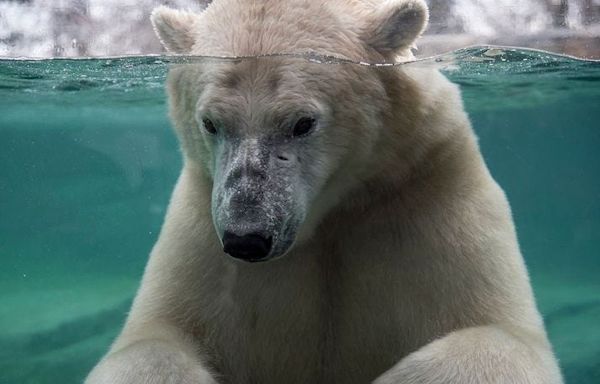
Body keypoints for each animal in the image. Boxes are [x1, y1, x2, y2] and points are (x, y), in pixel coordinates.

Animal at [85, 0, 564, 384]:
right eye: (211, 123)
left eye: (302, 123)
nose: (247, 238)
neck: (328, 214)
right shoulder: (203, 227)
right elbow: (155, 339)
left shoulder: (429, 194)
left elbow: (498, 334)